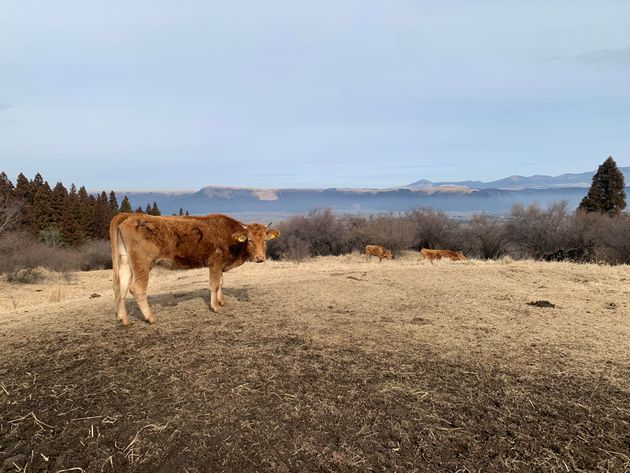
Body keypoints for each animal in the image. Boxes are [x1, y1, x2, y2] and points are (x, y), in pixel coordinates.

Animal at [111, 213, 282, 324]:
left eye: (265, 240)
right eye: (250, 240)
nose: (260, 258)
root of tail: (129, 216)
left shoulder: (221, 265)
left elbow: (221, 283)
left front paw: (221, 301)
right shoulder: (215, 262)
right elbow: (214, 284)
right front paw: (215, 307)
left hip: (125, 261)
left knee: (121, 287)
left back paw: (124, 319)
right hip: (142, 263)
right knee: (137, 288)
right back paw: (151, 318)